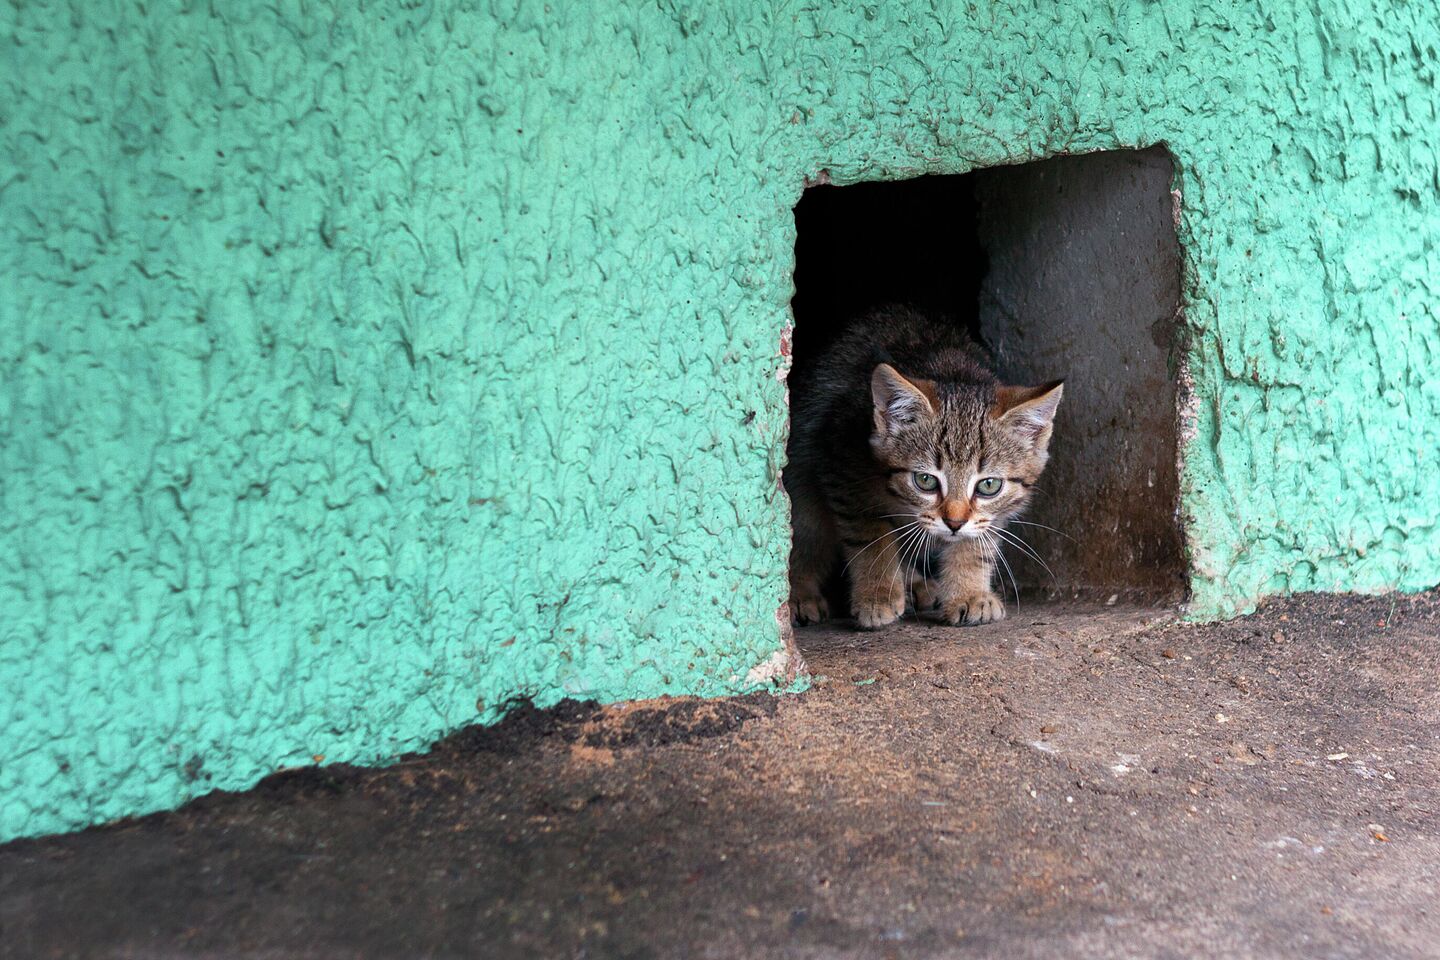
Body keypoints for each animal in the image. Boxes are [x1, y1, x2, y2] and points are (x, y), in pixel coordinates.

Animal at [789, 306, 1059, 630]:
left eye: (989, 485)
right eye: (925, 481)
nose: (954, 523)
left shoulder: (993, 514)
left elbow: (977, 543)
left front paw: (969, 593)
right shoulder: (840, 465)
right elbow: (871, 536)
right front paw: (878, 594)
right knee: (806, 533)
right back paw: (799, 595)